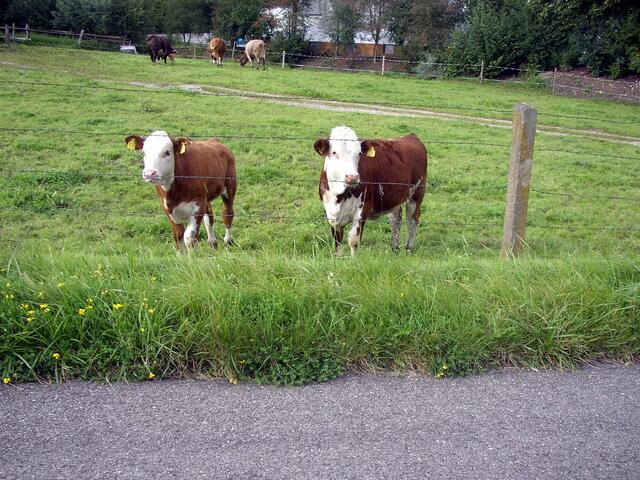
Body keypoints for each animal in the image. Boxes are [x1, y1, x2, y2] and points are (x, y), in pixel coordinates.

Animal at [315, 126, 427, 256]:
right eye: (334, 152)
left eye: (359, 153)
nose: (352, 177)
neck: (339, 196)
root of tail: (410, 136)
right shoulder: (331, 212)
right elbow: (337, 241)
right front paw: (339, 258)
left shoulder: (363, 208)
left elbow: (353, 240)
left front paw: (354, 260)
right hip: (394, 197)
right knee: (396, 219)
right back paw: (395, 248)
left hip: (417, 193)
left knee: (412, 219)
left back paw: (408, 248)